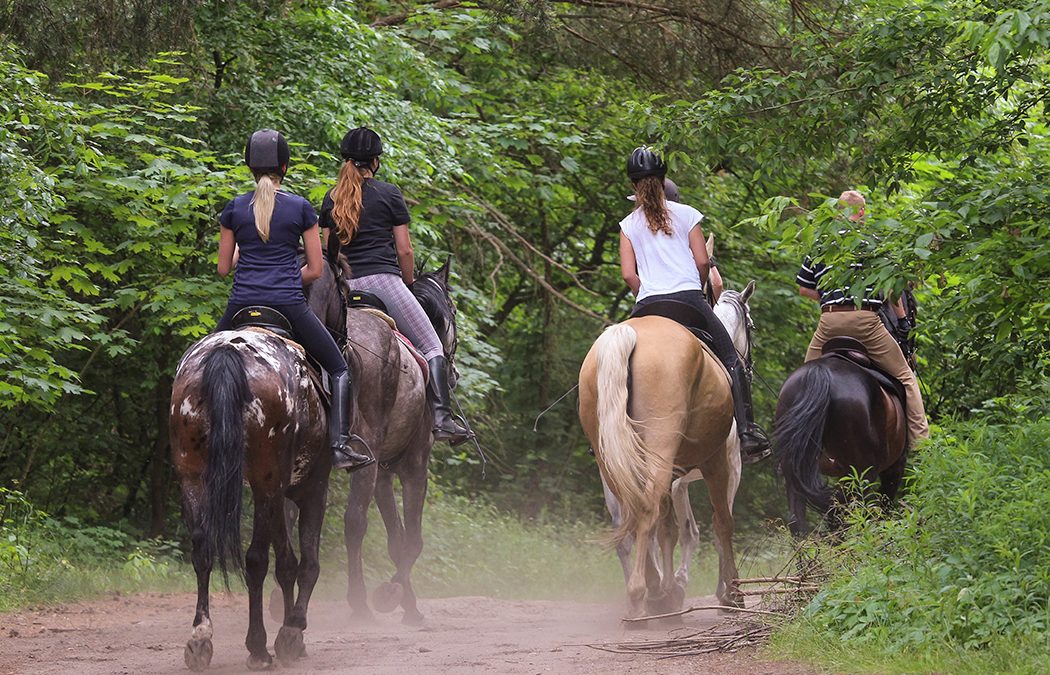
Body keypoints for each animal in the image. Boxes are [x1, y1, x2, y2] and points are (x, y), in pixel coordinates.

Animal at [170, 323, 329, 671]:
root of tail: (228, 352)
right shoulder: (311, 486)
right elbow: (305, 563)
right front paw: (292, 631)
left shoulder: (279, 492)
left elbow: (287, 562)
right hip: (264, 480)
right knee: (256, 560)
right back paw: (258, 647)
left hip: (193, 475)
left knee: (202, 549)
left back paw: (200, 638)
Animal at [306, 256, 461, 625]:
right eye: (453, 311)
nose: (454, 374)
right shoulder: (413, 465)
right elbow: (412, 540)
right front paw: (394, 597)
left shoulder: (384, 473)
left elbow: (396, 539)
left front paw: (406, 600)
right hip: (367, 457)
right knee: (354, 523)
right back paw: (360, 603)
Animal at [583, 283, 755, 621]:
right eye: (752, 327)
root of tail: (626, 335)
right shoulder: (727, 465)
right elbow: (719, 525)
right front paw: (728, 594)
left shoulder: (677, 480)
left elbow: (672, 530)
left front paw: (671, 588)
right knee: (647, 512)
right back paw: (643, 596)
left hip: (613, 462)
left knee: (630, 522)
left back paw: (647, 593)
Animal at [772, 346, 911, 535]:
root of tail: (820, 372)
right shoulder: (894, 467)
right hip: (861, 473)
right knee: (848, 517)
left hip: (796, 467)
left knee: (798, 520)